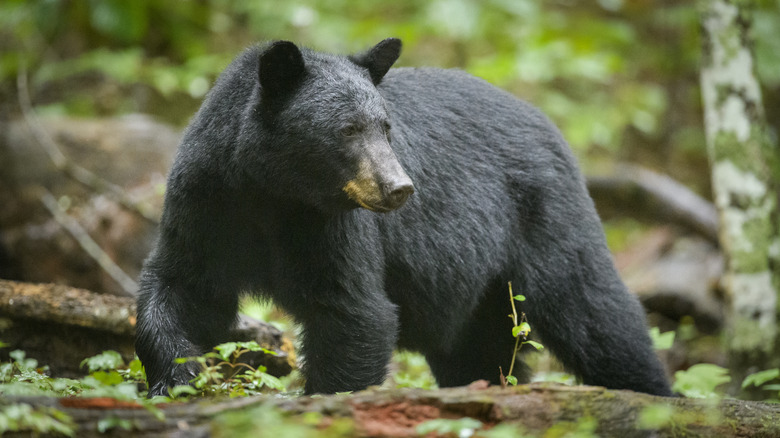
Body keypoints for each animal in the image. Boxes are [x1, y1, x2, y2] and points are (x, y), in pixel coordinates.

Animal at [134, 38, 672, 396]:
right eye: (348, 129)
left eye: (386, 127)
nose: (400, 188)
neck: (272, 193)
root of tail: (547, 121)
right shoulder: (207, 203)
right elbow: (184, 288)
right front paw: (177, 379)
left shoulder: (331, 228)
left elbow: (355, 312)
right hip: (479, 289)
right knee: (480, 351)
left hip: (544, 216)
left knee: (595, 313)